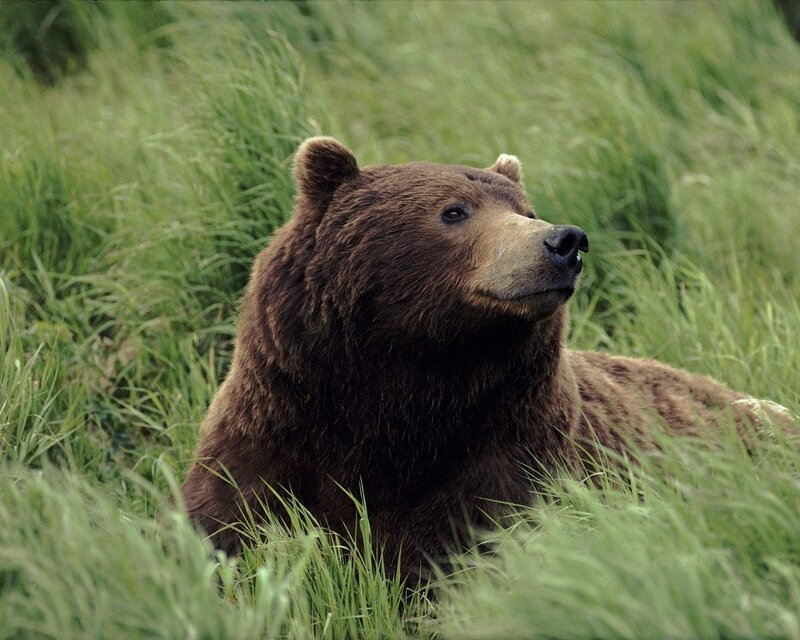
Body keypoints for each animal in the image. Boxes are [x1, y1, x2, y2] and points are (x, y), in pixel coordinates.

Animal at [181, 137, 791, 581]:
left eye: (526, 209)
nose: (565, 241)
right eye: (454, 211)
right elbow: (234, 525)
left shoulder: (507, 448)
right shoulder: (279, 426)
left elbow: (472, 543)